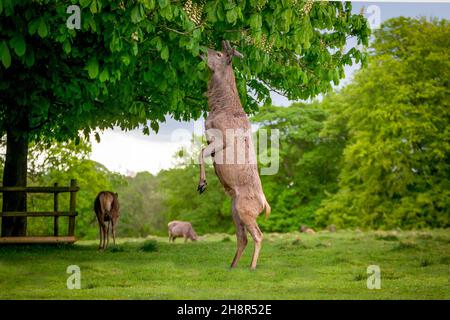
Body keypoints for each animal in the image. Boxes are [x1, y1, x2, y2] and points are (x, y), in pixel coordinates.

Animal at [198, 40, 270, 270]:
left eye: (219, 53)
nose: (201, 49)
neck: (218, 107)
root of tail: (264, 206)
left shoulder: (222, 139)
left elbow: (200, 154)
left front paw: (202, 185)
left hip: (245, 210)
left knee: (258, 235)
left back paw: (252, 266)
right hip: (235, 211)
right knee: (243, 238)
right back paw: (232, 265)